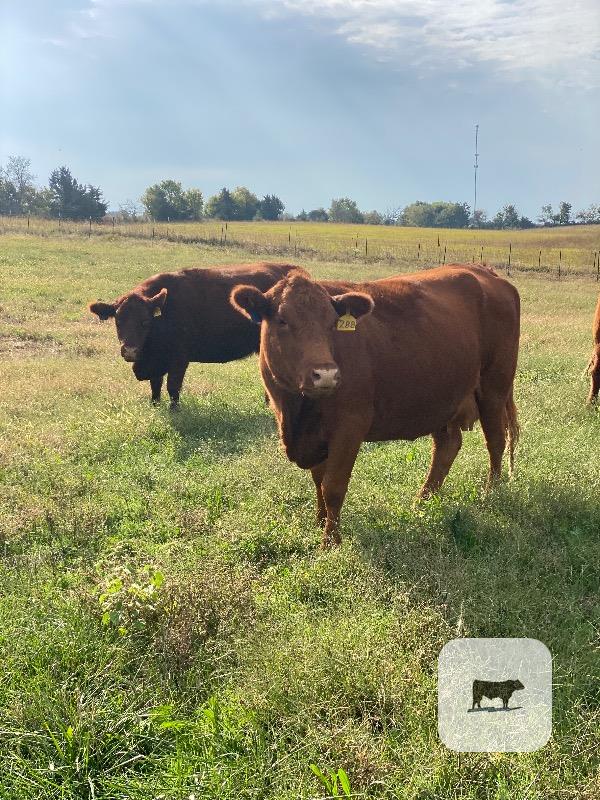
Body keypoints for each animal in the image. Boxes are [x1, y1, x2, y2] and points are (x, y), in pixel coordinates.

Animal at [88, 262, 297, 408]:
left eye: (145, 322)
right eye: (118, 321)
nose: (130, 351)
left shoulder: (179, 358)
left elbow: (173, 386)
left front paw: (175, 410)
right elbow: (155, 385)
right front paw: (154, 406)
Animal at [230, 264, 520, 548]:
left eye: (331, 323)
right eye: (282, 320)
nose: (326, 374)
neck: (297, 411)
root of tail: (485, 272)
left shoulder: (350, 426)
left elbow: (333, 486)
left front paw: (330, 541)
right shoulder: (313, 435)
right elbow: (318, 480)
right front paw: (319, 523)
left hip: (494, 388)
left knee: (496, 441)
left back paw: (490, 492)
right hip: (441, 399)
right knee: (447, 447)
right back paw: (422, 502)